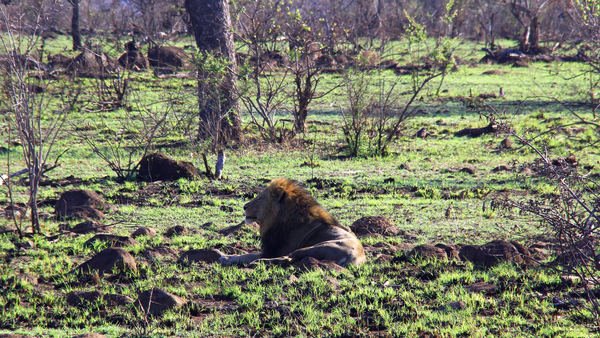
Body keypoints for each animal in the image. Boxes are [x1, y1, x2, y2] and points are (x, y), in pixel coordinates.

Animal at [217, 177, 366, 266]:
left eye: (259, 198)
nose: (245, 207)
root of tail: (352, 258)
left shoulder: (272, 251)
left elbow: (248, 255)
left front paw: (226, 258)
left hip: (317, 246)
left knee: (287, 258)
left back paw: (258, 262)